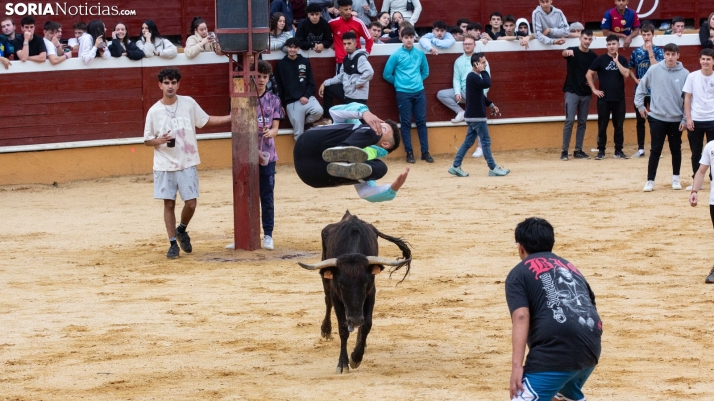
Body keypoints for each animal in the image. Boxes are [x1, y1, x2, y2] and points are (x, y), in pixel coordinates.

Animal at [296, 211, 408, 374]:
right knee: (327, 301)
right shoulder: (336, 295)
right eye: (341, 284)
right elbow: (343, 328)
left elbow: (367, 324)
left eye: (365, 282)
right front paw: (343, 363)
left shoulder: (370, 293)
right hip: (325, 279)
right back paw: (326, 330)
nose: (354, 320)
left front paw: (356, 357)